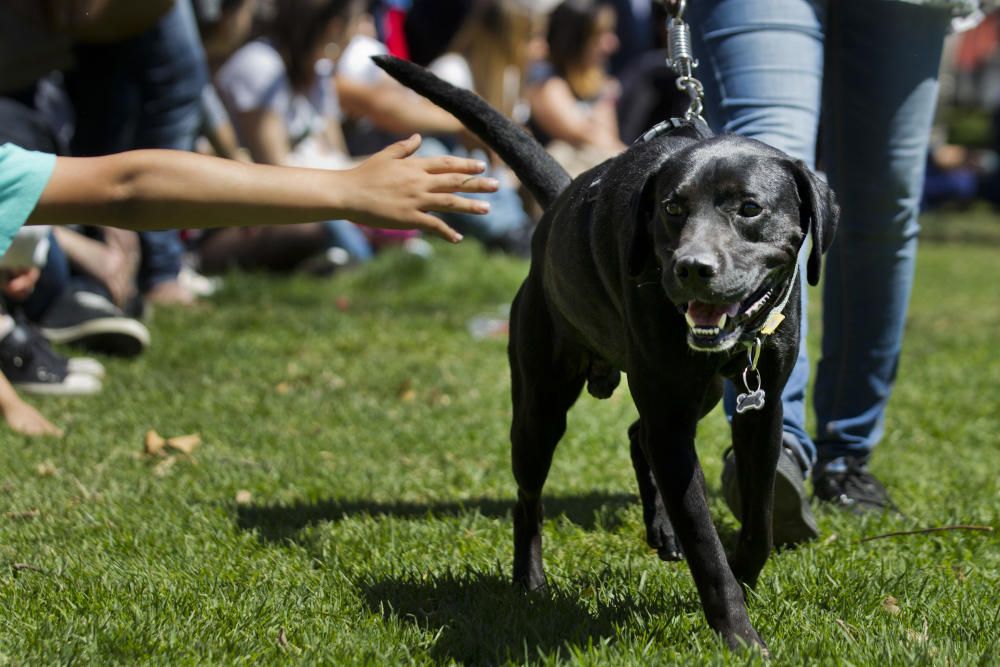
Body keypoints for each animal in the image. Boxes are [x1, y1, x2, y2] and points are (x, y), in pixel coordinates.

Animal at [376, 57, 836, 652]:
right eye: (672, 207)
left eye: (750, 208)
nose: (692, 267)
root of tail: (556, 207)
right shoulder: (671, 415)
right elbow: (706, 547)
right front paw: (738, 634)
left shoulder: (761, 411)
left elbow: (758, 522)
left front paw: (745, 575)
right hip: (541, 407)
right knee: (529, 497)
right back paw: (530, 581)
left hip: (698, 395)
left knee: (638, 435)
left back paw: (661, 530)